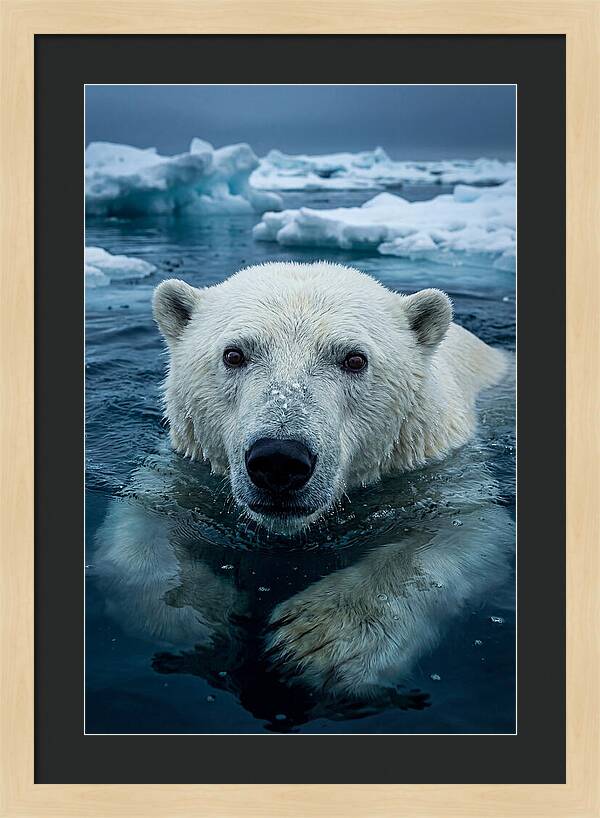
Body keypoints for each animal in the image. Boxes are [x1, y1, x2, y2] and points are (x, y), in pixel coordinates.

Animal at [92, 261, 512, 714]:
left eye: (354, 358)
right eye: (234, 354)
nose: (279, 460)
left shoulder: (437, 467)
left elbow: (465, 531)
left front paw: (317, 640)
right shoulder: (188, 469)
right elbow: (142, 525)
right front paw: (202, 616)